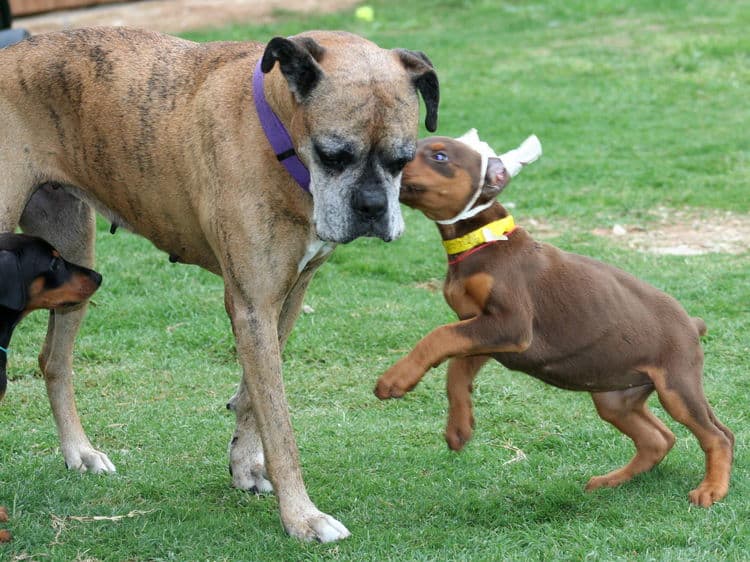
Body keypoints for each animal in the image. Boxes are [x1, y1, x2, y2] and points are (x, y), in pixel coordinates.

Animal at [0, 26, 440, 540]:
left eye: (402, 160)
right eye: (334, 155)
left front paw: (246, 465)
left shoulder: (283, 299)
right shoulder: (252, 305)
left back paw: (79, 451)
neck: (275, 134)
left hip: (73, 260)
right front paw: (302, 516)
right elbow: (279, 422)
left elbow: (254, 396)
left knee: (53, 360)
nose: (371, 207)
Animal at [376, 135, 736, 504]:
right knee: (658, 439)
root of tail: (692, 323)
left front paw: (396, 378)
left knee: (718, 435)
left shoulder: (510, 325)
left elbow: (438, 336)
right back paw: (611, 481)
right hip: (615, 396)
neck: (481, 241)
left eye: (439, 156)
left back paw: (711, 489)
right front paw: (459, 426)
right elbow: (455, 369)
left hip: (677, 386)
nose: (388, 160)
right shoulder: (482, 331)